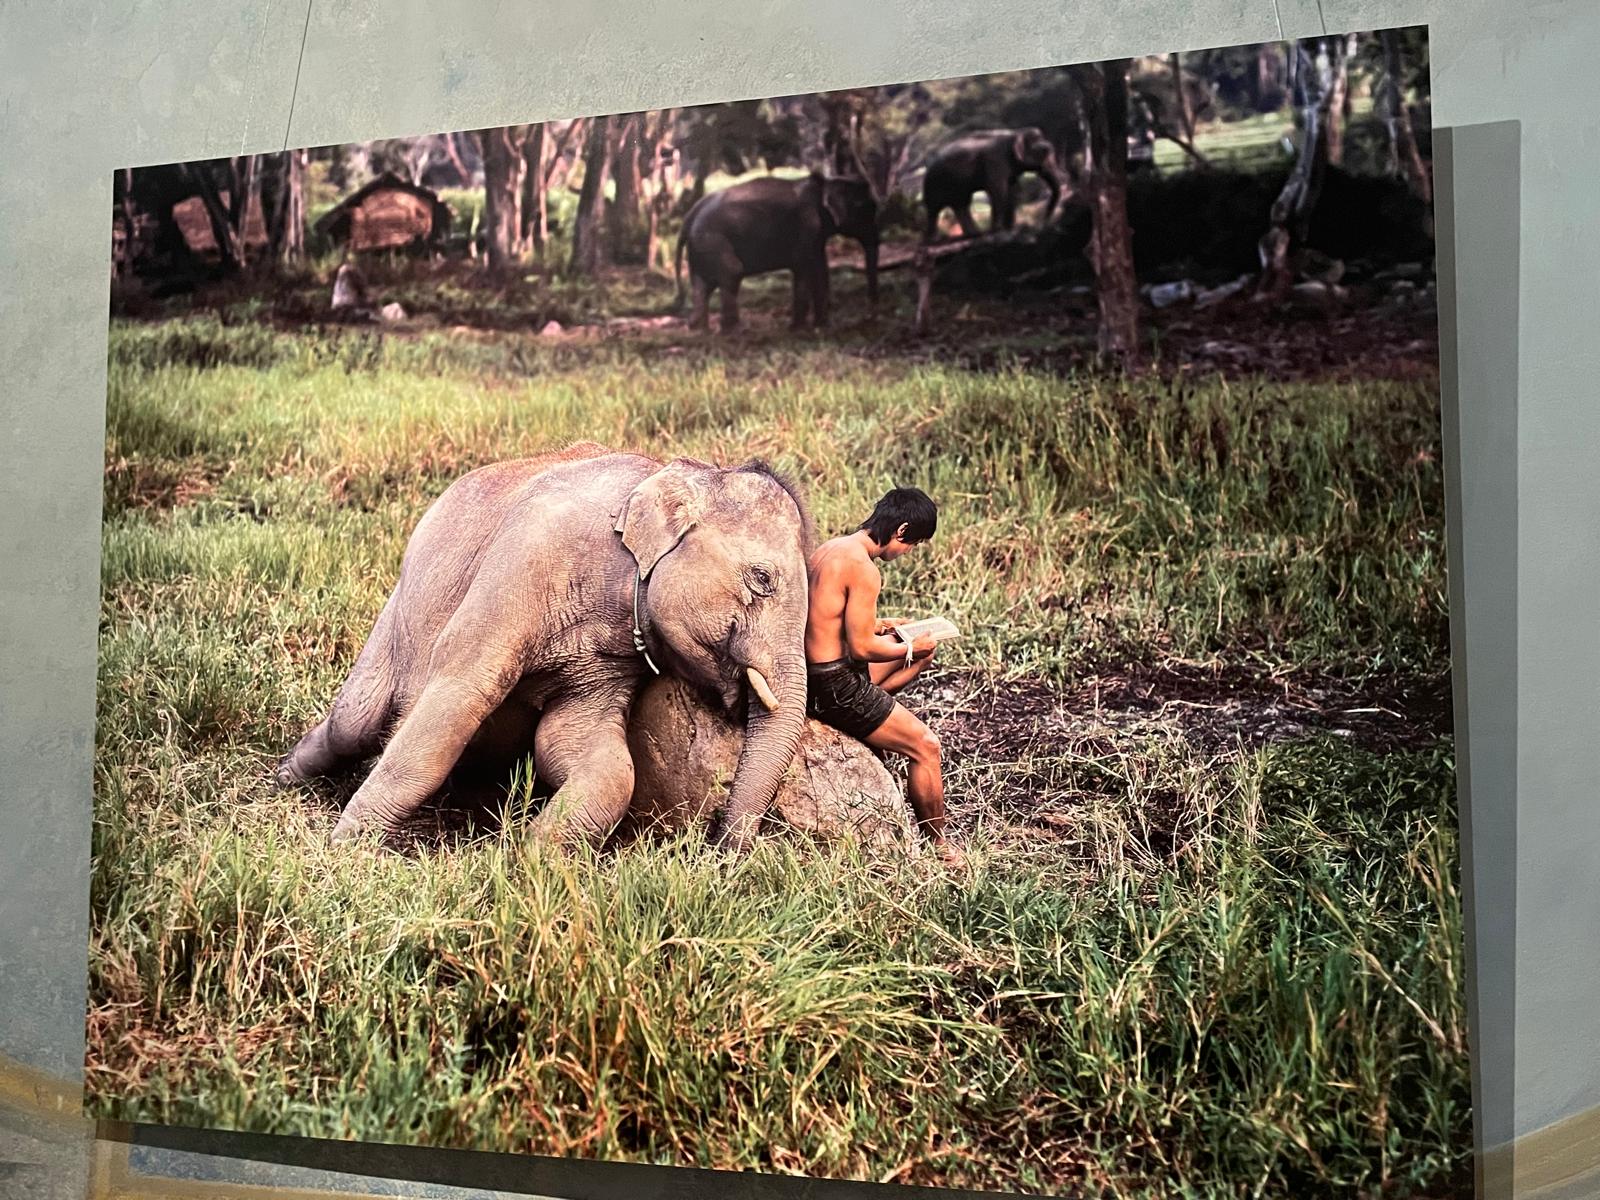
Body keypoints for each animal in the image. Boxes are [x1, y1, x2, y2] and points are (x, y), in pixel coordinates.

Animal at [274, 441, 814, 853]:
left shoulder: (611, 657)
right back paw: (286, 776)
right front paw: (345, 851)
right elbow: (459, 695)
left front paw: (533, 860)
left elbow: (591, 753)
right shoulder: (526, 557)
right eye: (762, 578)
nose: (718, 847)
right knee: (355, 722)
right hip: (397, 615)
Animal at [674, 171, 880, 333]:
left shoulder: (816, 234)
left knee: (702, 283)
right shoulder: (807, 225)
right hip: (713, 241)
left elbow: (820, 268)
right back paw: (736, 331)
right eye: (866, 209)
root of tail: (689, 216)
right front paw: (799, 329)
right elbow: (804, 266)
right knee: (732, 273)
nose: (868, 317)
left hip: (700, 247)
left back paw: (699, 330)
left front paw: (822, 327)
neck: (824, 183)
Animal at [921, 127, 1067, 241]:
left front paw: (1010, 228)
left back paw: (974, 234)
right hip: (934, 184)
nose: (1043, 222)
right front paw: (997, 230)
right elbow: (998, 189)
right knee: (934, 209)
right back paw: (933, 240)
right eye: (1044, 150)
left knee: (961, 204)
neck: (1015, 133)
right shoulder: (996, 161)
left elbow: (1011, 190)